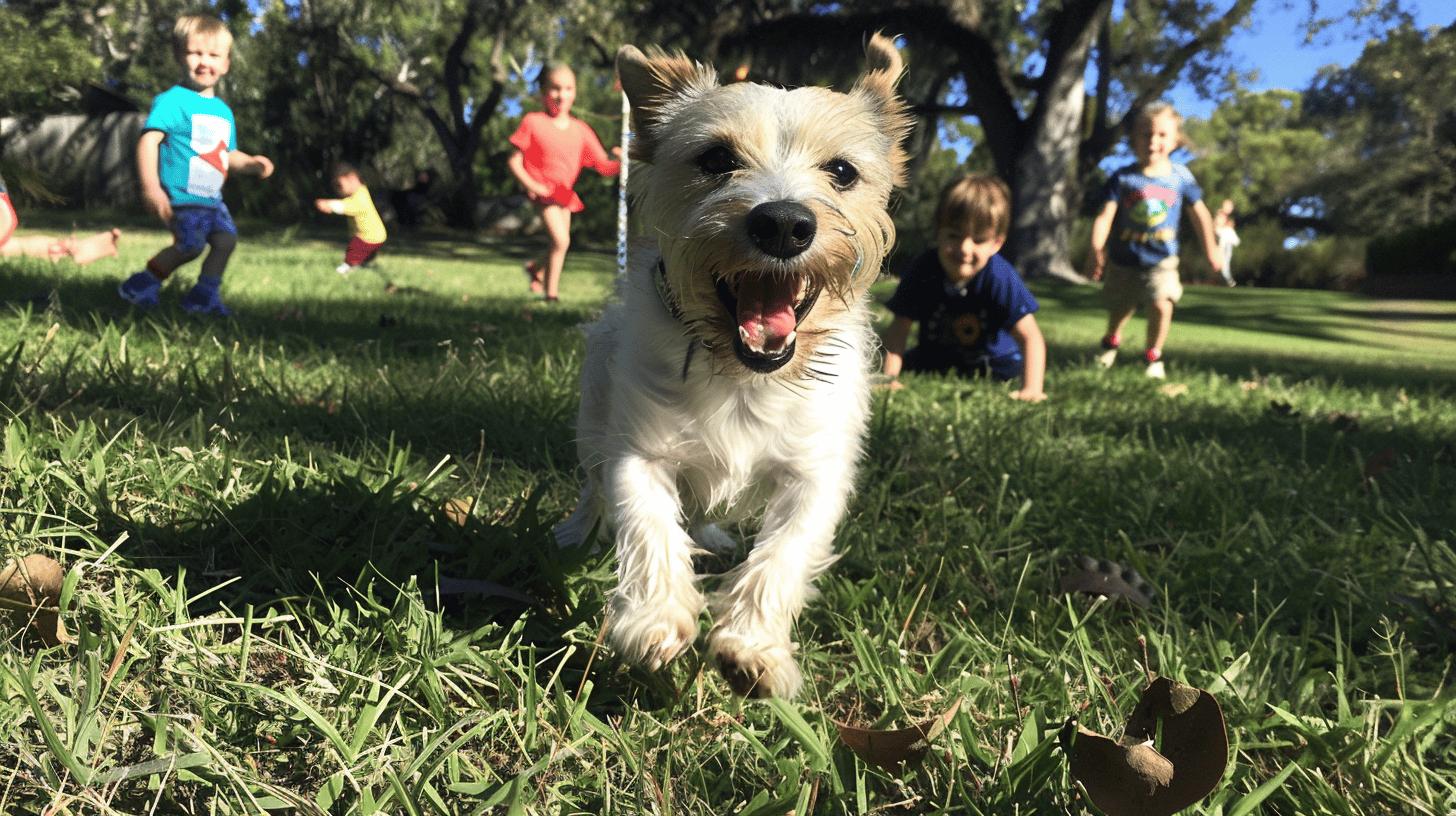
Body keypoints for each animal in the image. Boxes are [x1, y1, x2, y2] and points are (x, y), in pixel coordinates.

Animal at [556, 34, 908, 699]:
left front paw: (752, 646)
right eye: (716, 158)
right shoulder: (639, 452)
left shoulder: (814, 475)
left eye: (842, 171)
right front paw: (655, 619)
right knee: (595, 487)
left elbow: (783, 554)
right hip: (591, 427)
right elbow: (648, 525)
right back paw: (577, 532)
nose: (784, 223)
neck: (745, 378)